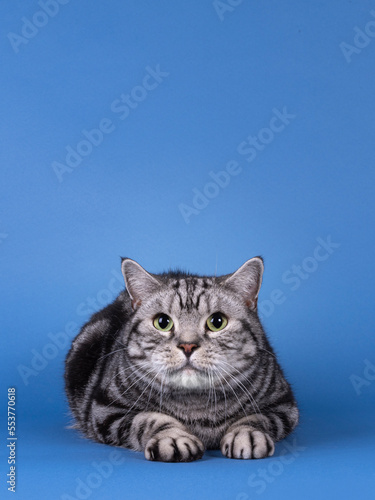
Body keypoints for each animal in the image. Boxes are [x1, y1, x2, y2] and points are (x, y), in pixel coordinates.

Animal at [65, 258, 300, 460]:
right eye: (162, 322)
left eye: (217, 322)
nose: (188, 345)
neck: (197, 408)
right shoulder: (105, 409)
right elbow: (148, 419)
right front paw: (173, 437)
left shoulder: (284, 404)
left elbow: (257, 418)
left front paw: (247, 434)